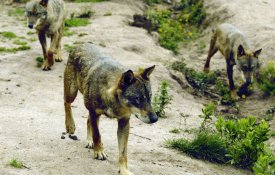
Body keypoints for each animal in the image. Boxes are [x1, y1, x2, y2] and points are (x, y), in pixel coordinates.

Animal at [63, 42, 157, 175]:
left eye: (150, 97)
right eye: (138, 98)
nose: (155, 119)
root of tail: (82, 44)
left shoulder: (124, 122)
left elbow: (123, 153)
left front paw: (124, 170)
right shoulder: (94, 113)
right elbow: (97, 135)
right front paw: (99, 152)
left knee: (87, 121)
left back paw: (89, 141)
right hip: (72, 93)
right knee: (66, 104)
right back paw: (70, 126)